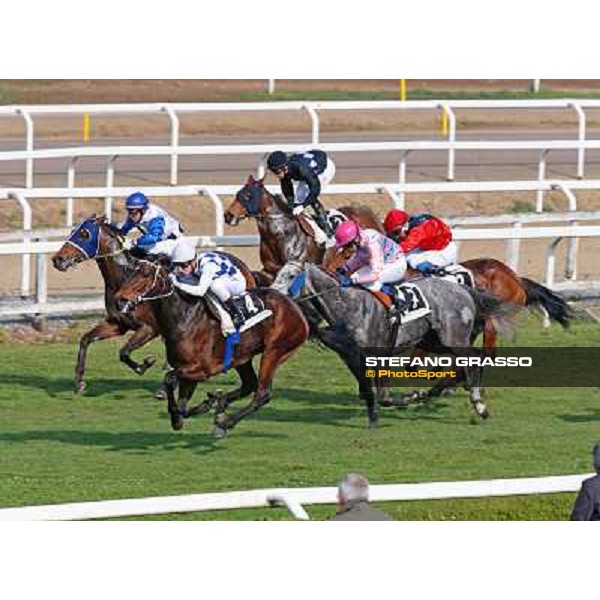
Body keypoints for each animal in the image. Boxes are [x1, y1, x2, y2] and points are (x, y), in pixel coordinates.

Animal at [51, 216, 255, 394]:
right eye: (72, 231)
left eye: (84, 234)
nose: (57, 259)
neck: (125, 277)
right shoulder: (118, 324)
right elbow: (86, 339)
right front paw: (79, 382)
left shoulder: (149, 328)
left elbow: (124, 352)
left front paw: (145, 364)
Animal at [113, 260, 310, 438]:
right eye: (130, 272)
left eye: (146, 274)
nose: (119, 299)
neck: (185, 318)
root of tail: (295, 306)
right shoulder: (187, 371)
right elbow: (183, 405)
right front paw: (206, 404)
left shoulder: (201, 369)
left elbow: (169, 379)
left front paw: (182, 415)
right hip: (242, 357)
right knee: (250, 384)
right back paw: (220, 406)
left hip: (275, 351)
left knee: (262, 394)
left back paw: (224, 423)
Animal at [223, 175, 382, 288]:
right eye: (238, 193)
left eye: (248, 195)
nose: (228, 215)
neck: (280, 235)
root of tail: (366, 214)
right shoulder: (269, 270)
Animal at [272, 262, 510, 426]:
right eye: (277, 273)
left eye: (291, 275)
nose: (272, 294)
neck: (349, 305)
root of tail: (464, 290)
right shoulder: (351, 357)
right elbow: (369, 392)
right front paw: (375, 416)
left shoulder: (378, 355)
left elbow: (385, 397)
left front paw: (409, 397)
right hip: (434, 340)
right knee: (474, 357)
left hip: (454, 338)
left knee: (474, 357)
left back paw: (478, 403)